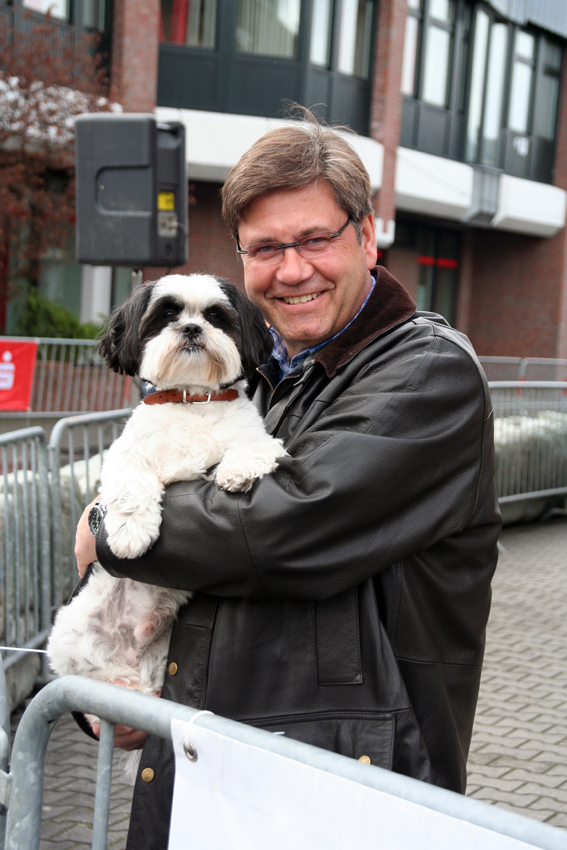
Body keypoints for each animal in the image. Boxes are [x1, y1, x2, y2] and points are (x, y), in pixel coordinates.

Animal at [47, 274, 288, 776]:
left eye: (216, 316)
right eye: (167, 315)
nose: (192, 328)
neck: (192, 400)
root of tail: (132, 655)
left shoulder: (257, 439)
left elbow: (252, 447)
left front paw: (236, 471)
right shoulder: (125, 454)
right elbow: (131, 482)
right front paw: (130, 534)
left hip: (160, 652)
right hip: (71, 636)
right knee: (93, 674)